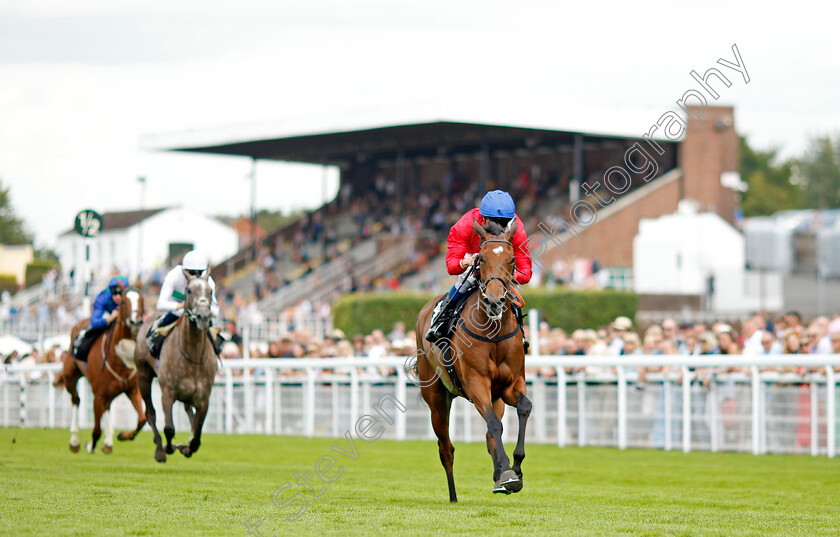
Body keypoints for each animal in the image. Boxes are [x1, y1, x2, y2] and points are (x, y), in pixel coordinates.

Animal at [55, 284, 146, 452]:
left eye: (141, 300)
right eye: (123, 302)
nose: (135, 322)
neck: (120, 358)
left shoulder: (132, 389)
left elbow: (142, 419)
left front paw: (123, 435)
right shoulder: (97, 394)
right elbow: (96, 430)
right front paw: (90, 445)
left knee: (107, 407)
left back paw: (108, 440)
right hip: (70, 377)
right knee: (76, 400)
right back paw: (74, 440)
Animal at [135, 274, 220, 462]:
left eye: (210, 291)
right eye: (188, 290)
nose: (203, 316)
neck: (193, 357)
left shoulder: (204, 399)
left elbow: (196, 437)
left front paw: (186, 447)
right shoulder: (168, 392)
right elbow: (169, 428)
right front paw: (168, 447)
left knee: (189, 411)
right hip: (143, 376)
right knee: (150, 413)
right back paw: (159, 449)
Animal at [416, 216, 532, 500]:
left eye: (512, 260)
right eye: (481, 258)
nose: (494, 301)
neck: (494, 332)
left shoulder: (510, 385)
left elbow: (523, 409)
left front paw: (514, 469)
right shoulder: (476, 382)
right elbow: (494, 424)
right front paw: (508, 471)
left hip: (495, 396)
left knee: (490, 436)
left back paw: (498, 477)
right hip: (437, 399)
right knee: (446, 448)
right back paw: (454, 496)